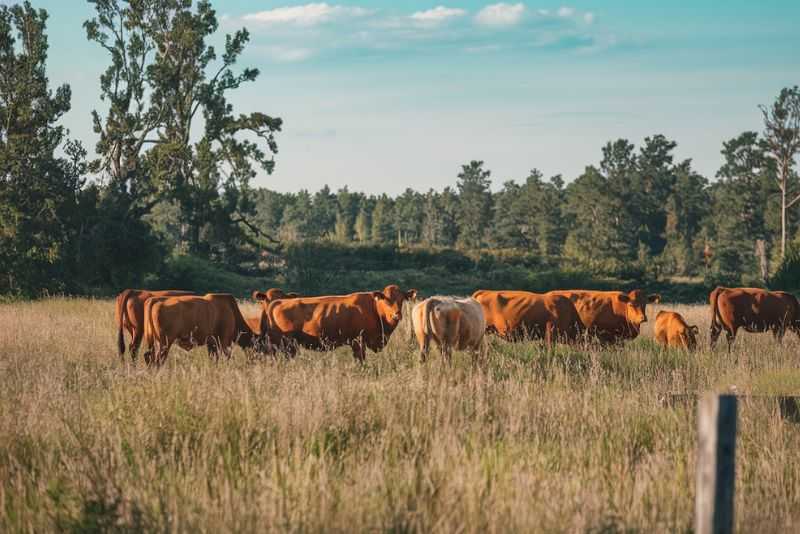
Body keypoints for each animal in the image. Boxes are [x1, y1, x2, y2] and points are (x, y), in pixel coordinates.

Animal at [262, 285, 417, 362]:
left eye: (402, 299)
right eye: (386, 299)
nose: (397, 314)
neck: (373, 307)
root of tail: (278, 302)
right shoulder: (357, 342)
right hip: (285, 344)